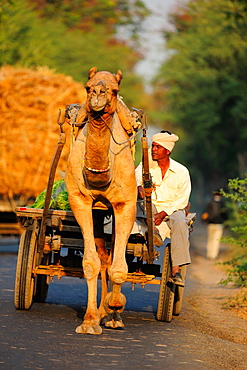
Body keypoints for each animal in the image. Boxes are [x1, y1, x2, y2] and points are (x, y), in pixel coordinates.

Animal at [65, 66, 137, 336]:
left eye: (114, 90)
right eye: (87, 87)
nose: (98, 93)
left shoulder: (125, 204)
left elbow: (120, 269)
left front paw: (115, 308)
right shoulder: (80, 201)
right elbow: (90, 263)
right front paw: (89, 321)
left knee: (115, 253)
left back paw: (111, 312)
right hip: (97, 213)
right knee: (104, 257)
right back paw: (101, 312)